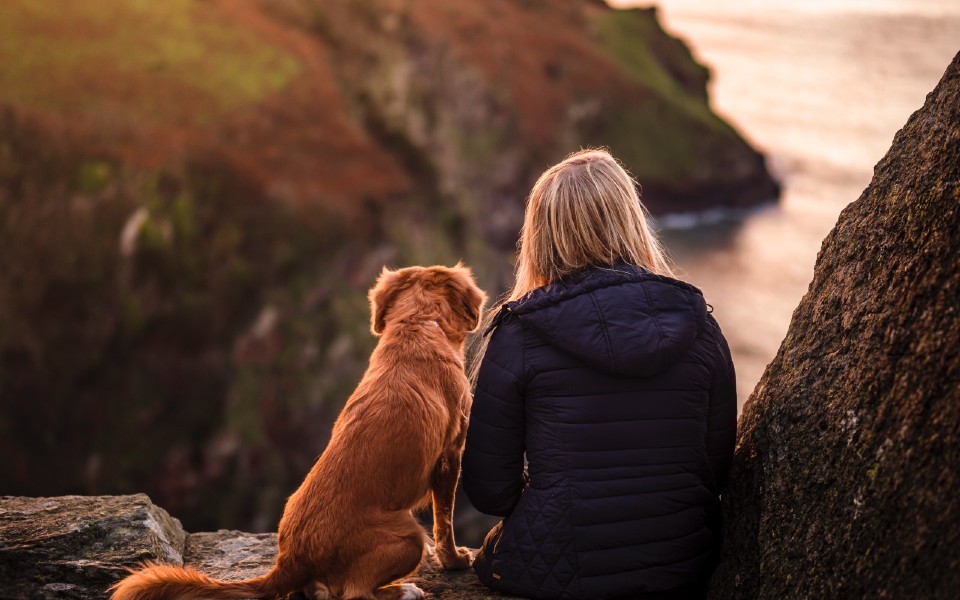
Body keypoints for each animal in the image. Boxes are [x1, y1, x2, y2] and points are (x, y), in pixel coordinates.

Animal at [110, 264, 488, 600]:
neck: (417, 324)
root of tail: (289, 561)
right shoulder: (451, 455)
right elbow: (445, 521)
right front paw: (455, 561)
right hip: (409, 536)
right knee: (353, 592)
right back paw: (404, 590)